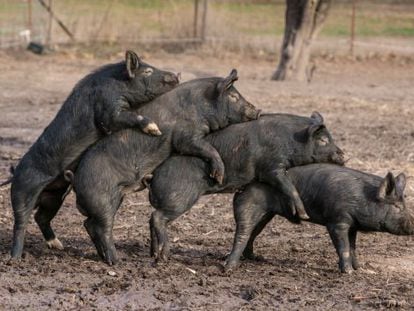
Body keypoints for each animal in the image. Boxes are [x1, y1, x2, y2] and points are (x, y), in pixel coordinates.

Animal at [10, 51, 180, 260]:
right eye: (148, 71)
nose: (176, 76)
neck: (119, 84)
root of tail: (14, 172)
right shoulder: (108, 108)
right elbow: (120, 118)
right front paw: (155, 130)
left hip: (55, 196)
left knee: (40, 216)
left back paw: (58, 246)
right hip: (22, 190)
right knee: (20, 221)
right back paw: (15, 258)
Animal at [64, 70, 258, 266]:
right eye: (233, 96)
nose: (257, 110)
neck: (199, 105)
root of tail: (74, 179)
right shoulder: (186, 135)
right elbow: (204, 147)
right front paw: (218, 176)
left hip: (114, 198)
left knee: (89, 224)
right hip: (101, 200)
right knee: (102, 227)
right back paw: (117, 261)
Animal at [147, 113, 344, 262]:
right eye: (323, 140)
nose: (343, 154)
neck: (291, 140)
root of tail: (153, 177)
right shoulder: (272, 166)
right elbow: (287, 185)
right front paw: (303, 215)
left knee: (151, 219)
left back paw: (153, 254)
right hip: (179, 198)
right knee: (157, 217)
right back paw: (164, 257)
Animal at [228, 165, 412, 274]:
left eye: (404, 204)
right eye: (397, 206)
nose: (413, 224)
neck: (363, 198)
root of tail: (243, 185)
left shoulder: (352, 225)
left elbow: (352, 246)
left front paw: (359, 269)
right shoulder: (337, 221)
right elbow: (344, 247)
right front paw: (349, 273)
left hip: (266, 215)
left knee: (253, 233)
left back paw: (256, 258)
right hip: (247, 206)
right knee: (242, 233)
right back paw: (229, 267)